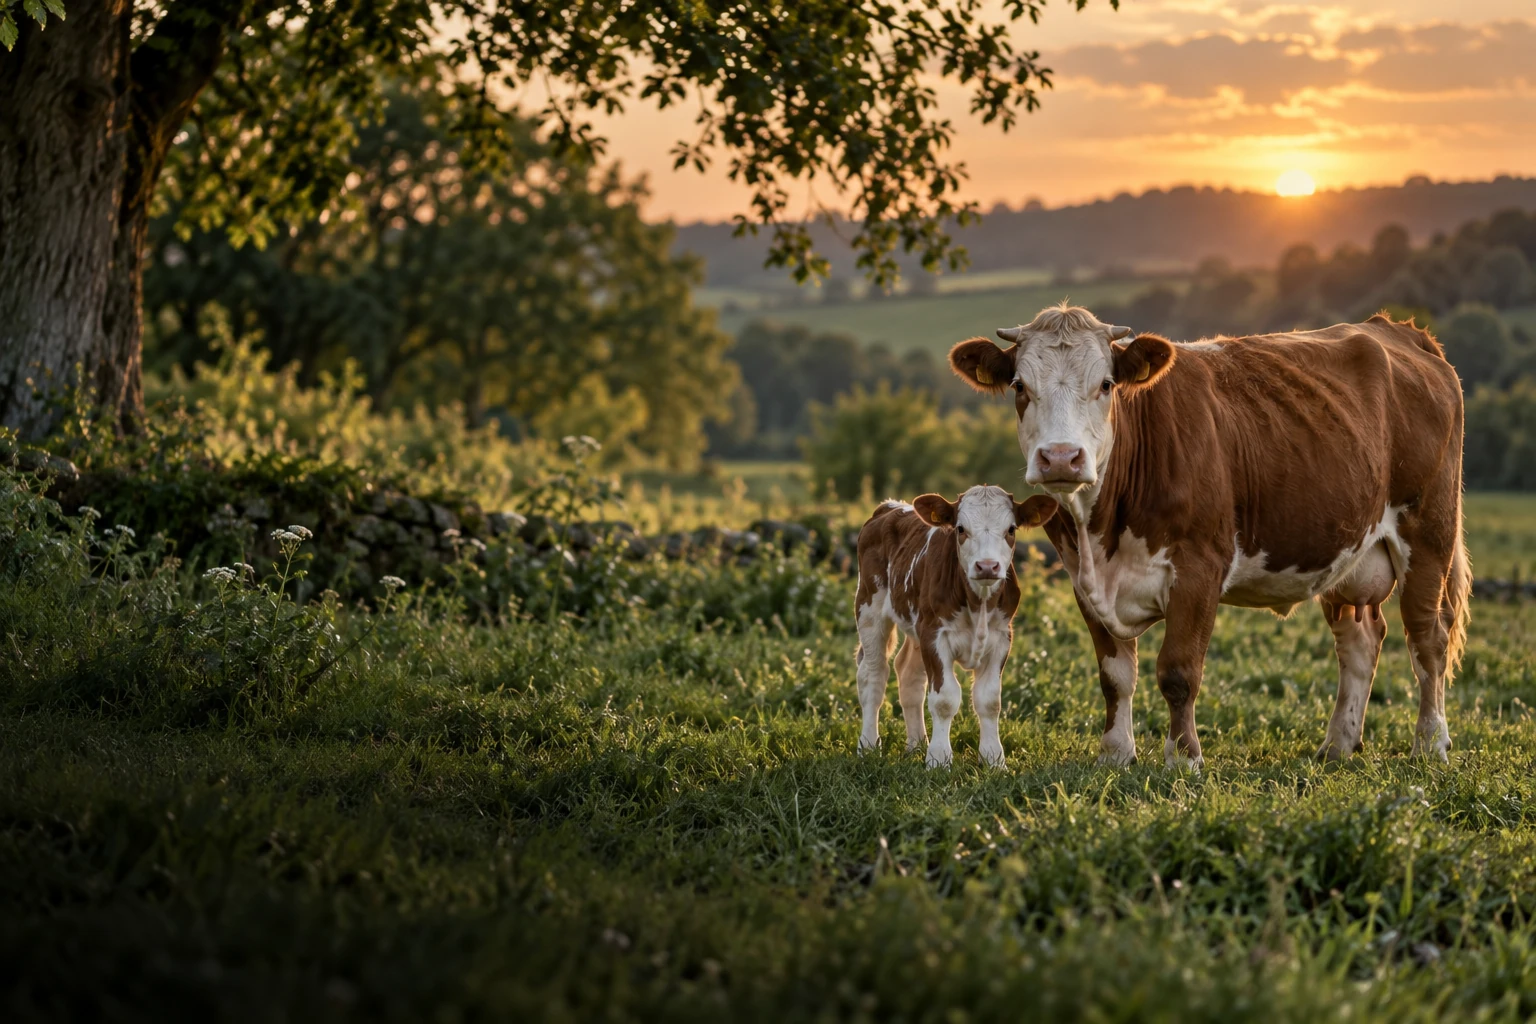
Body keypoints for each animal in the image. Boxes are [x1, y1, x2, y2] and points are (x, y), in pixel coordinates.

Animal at [854, 486, 1058, 767]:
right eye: (961, 529)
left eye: (1011, 529)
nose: (987, 566)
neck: (978, 604)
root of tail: (890, 506)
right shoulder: (934, 635)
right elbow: (945, 699)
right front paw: (939, 759)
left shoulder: (1000, 637)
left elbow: (989, 700)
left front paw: (993, 759)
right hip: (869, 608)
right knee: (872, 675)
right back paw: (868, 746)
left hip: (916, 627)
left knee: (909, 675)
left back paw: (917, 745)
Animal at [948, 304, 1470, 768]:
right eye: (1019, 385)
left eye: (1106, 384)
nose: (1060, 457)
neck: (1103, 531)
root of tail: (1395, 330)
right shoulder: (1082, 577)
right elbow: (1114, 676)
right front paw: (1115, 753)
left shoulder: (1199, 568)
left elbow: (1178, 672)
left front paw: (1184, 757)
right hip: (1349, 551)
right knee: (1360, 640)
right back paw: (1338, 746)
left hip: (1428, 532)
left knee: (1428, 637)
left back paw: (1430, 744)